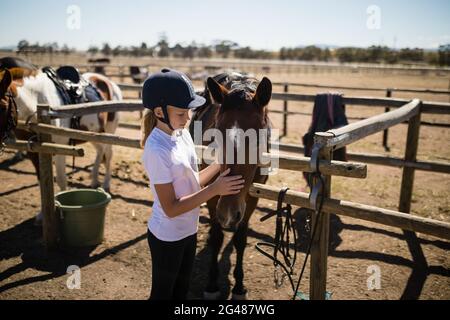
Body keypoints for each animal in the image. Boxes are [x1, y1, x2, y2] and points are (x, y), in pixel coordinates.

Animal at [189, 71, 272, 298]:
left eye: (258, 140)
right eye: (215, 135)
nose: (228, 213)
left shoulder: (251, 197)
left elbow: (240, 239)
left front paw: (239, 285)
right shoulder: (214, 196)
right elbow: (217, 237)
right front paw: (212, 284)